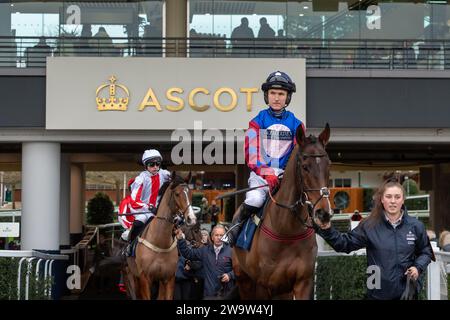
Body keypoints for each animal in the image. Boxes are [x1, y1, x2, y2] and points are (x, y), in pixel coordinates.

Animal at [125, 172, 198, 300]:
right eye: (177, 194)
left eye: (190, 193)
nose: (191, 219)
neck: (160, 243)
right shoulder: (144, 278)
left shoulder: (168, 278)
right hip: (131, 277)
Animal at [234, 123, 332, 300]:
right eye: (305, 167)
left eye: (329, 165)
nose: (323, 214)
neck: (286, 230)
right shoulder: (263, 286)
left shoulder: (302, 283)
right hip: (244, 280)